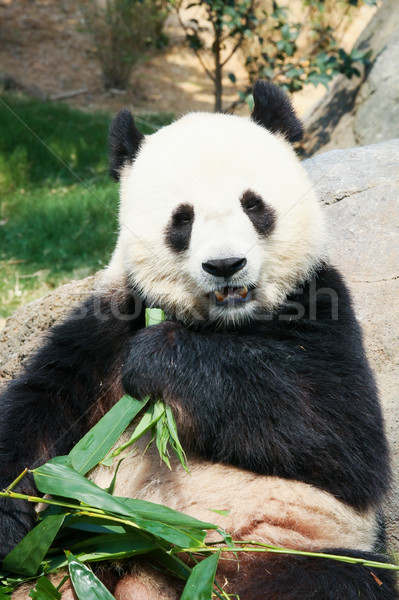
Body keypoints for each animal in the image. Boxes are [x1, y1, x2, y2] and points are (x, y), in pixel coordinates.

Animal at [0, 81, 396, 600]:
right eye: (182, 220)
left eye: (254, 205)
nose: (225, 265)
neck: (222, 325)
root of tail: (150, 561)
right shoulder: (107, 326)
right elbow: (40, 411)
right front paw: (8, 515)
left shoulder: (320, 310)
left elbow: (333, 434)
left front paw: (162, 356)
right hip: (69, 559)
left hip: (281, 548)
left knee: (342, 579)